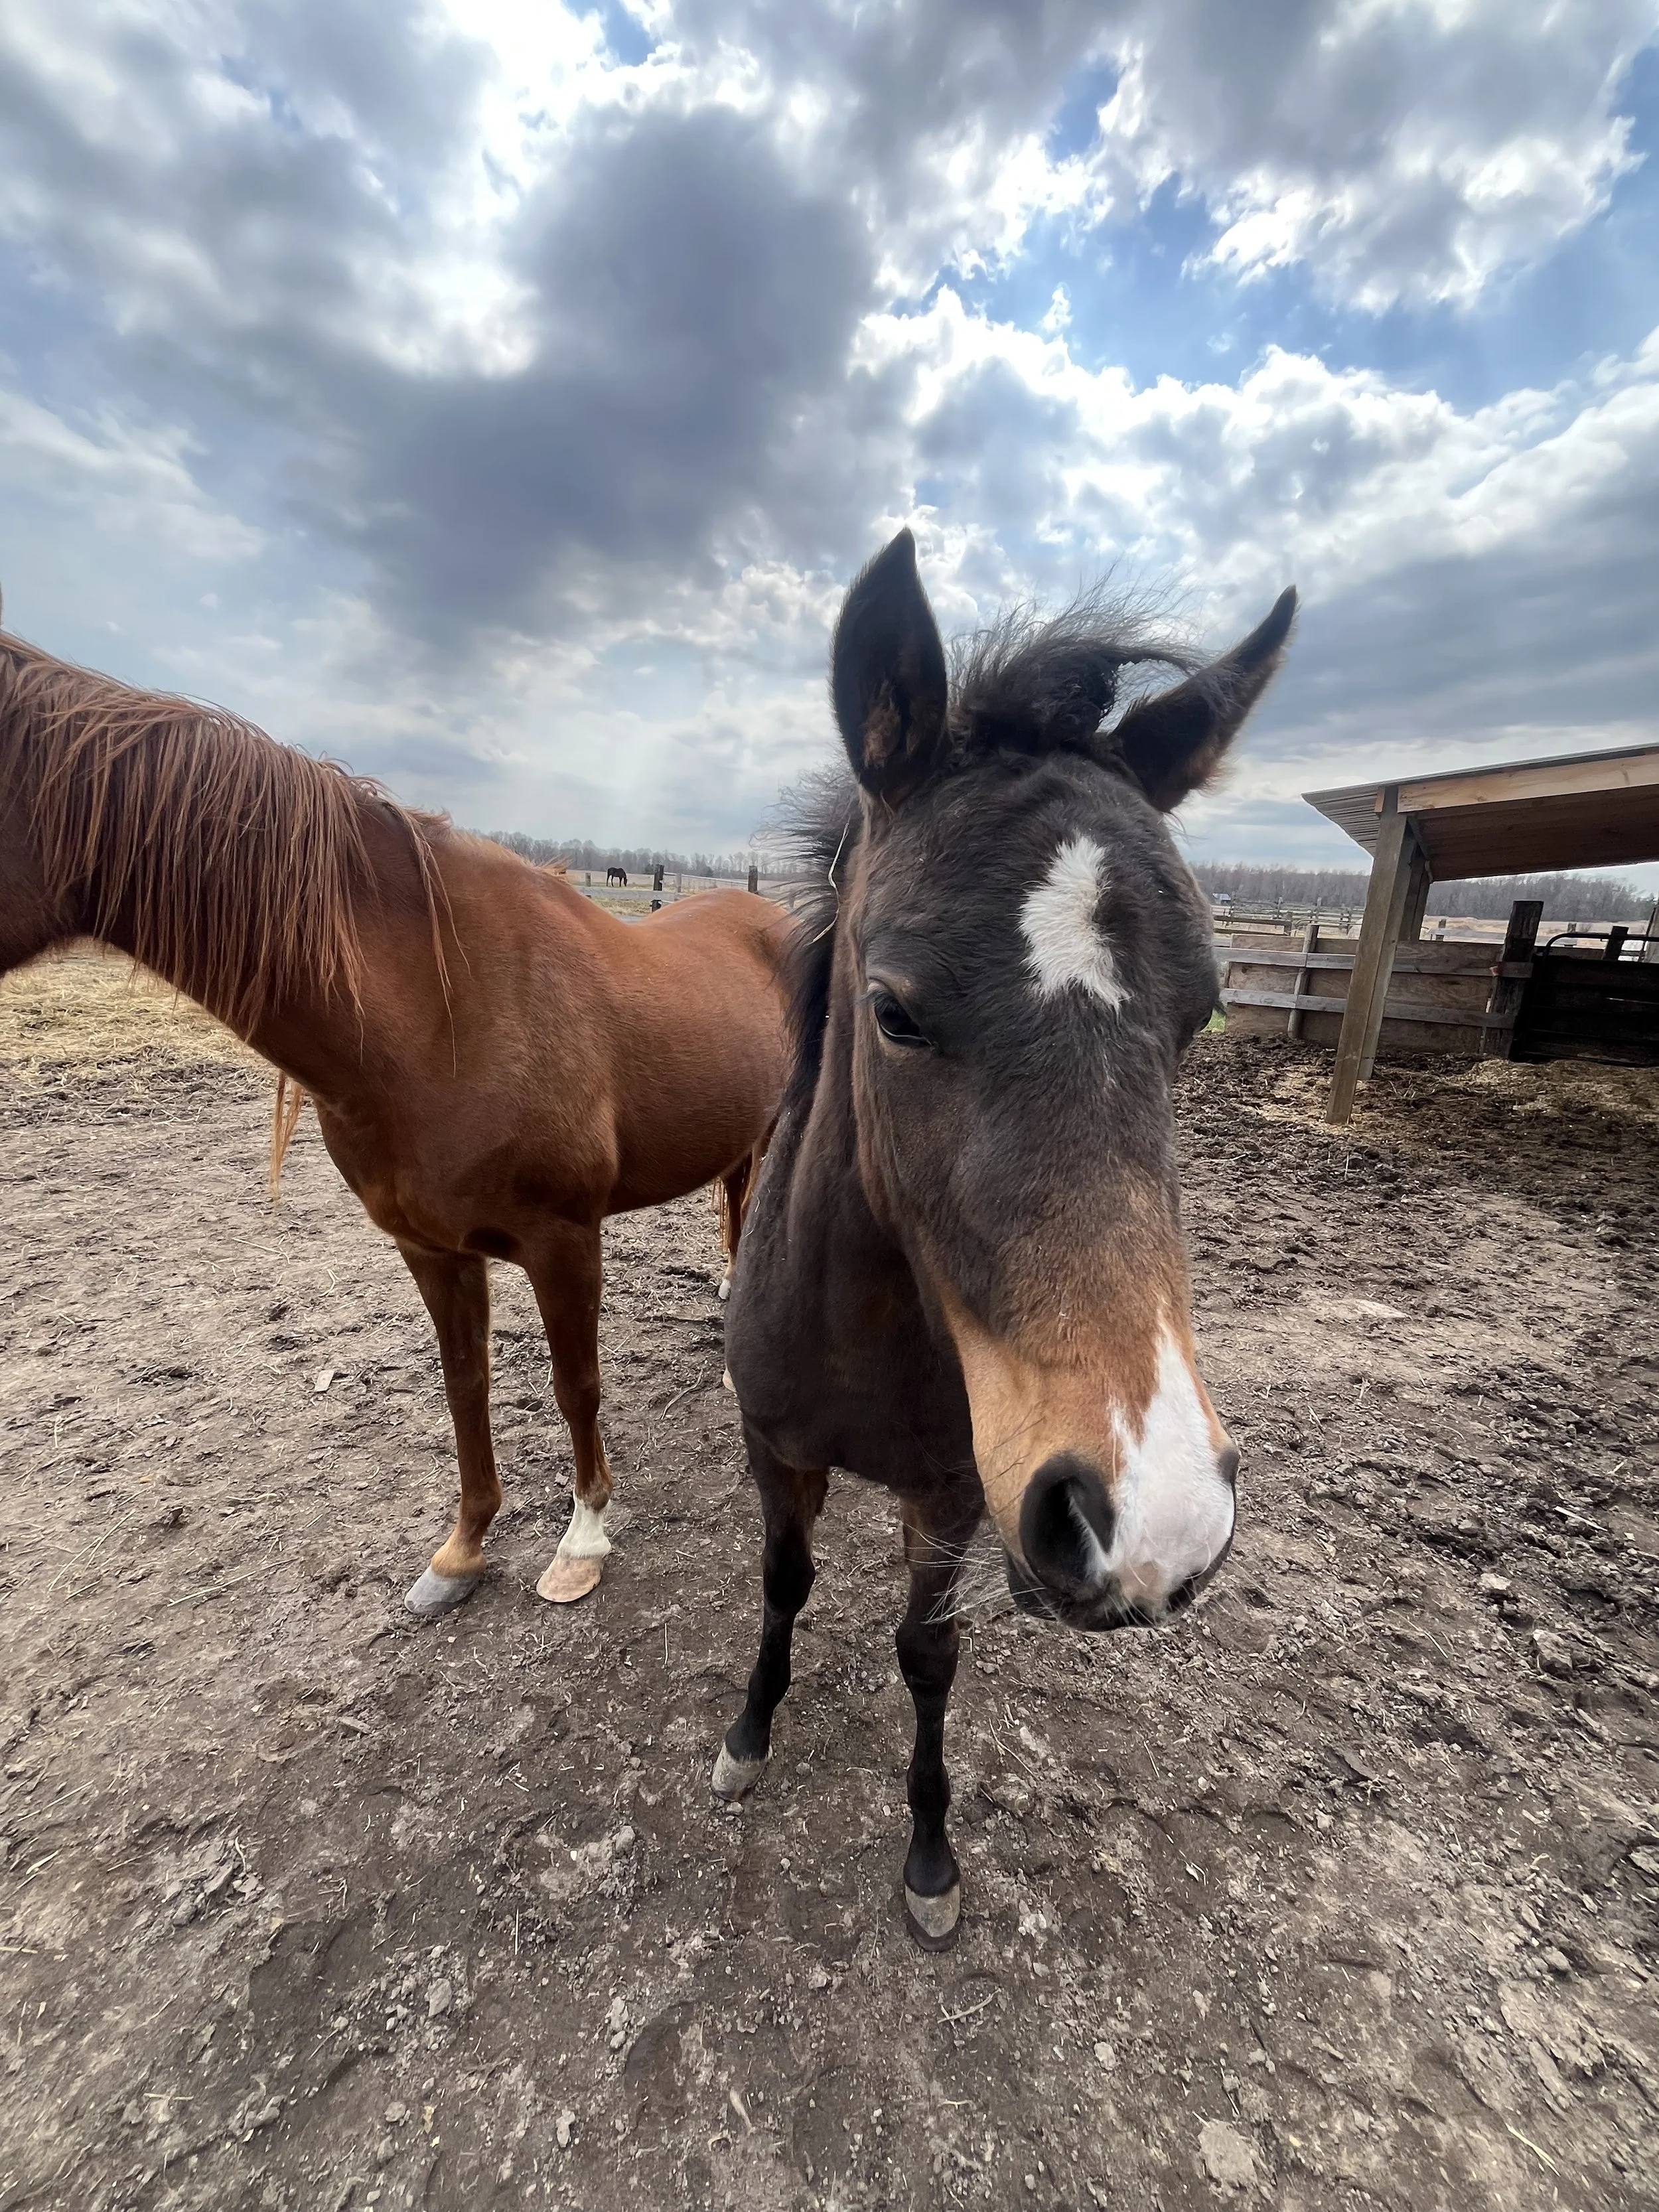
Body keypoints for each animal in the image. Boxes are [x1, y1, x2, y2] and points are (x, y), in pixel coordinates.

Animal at [0, 621, 790, 1614]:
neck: (440, 1012)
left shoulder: (564, 1239)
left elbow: (576, 1385)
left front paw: (582, 1539)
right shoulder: (430, 1248)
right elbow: (464, 1386)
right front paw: (461, 1550)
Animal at [719, 530, 1295, 1946]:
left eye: (1202, 1015)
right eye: (894, 1009)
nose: (1154, 1517)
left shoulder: (951, 1493)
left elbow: (929, 1651)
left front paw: (930, 1856)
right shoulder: (775, 1446)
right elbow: (781, 1580)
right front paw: (749, 1733)